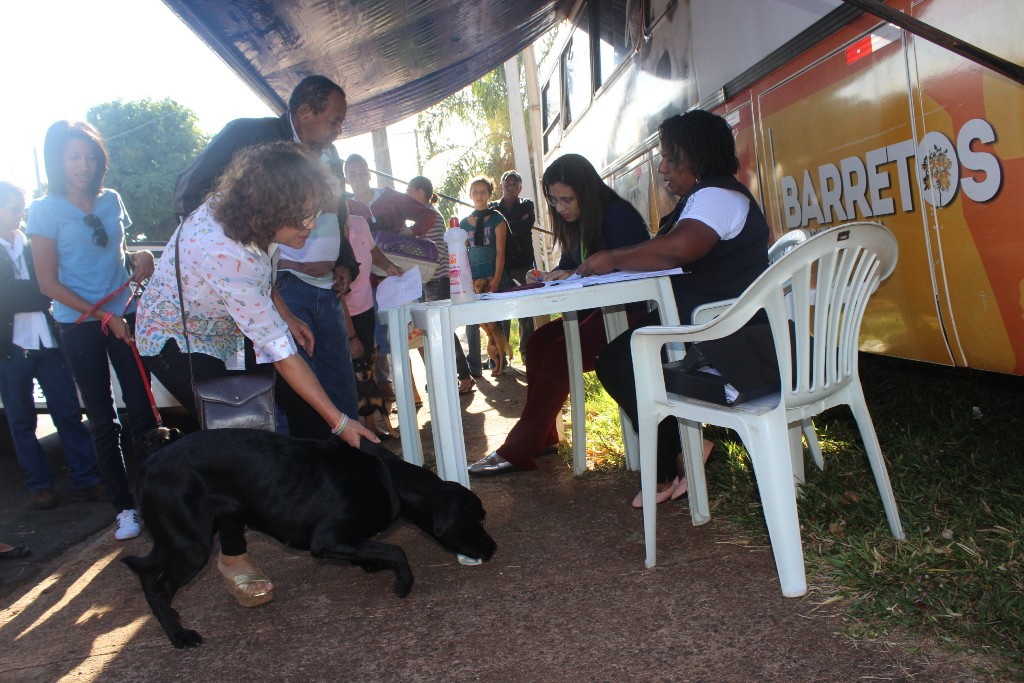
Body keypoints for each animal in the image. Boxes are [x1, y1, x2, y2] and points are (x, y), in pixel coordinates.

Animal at [121, 430, 493, 651]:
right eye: (476, 519)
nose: (493, 548)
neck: (391, 479)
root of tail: (145, 465)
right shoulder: (327, 539)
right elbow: (396, 549)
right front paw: (401, 583)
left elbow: (377, 549)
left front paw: (370, 563)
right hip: (190, 546)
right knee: (157, 587)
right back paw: (179, 635)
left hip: (180, 538)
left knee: (147, 574)